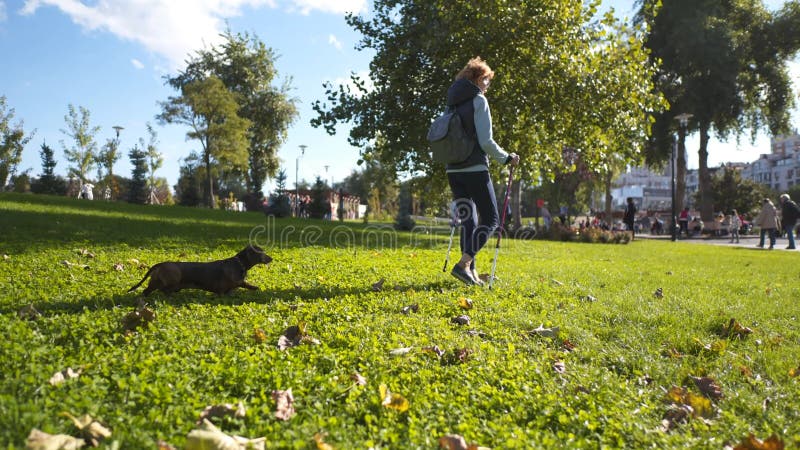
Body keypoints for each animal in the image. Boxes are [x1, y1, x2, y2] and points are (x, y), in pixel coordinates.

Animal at [127, 246, 272, 296]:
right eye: (261, 252)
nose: (271, 258)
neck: (239, 263)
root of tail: (160, 265)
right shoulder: (234, 282)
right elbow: (244, 283)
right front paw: (255, 287)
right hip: (172, 278)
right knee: (164, 289)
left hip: (155, 282)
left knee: (148, 291)